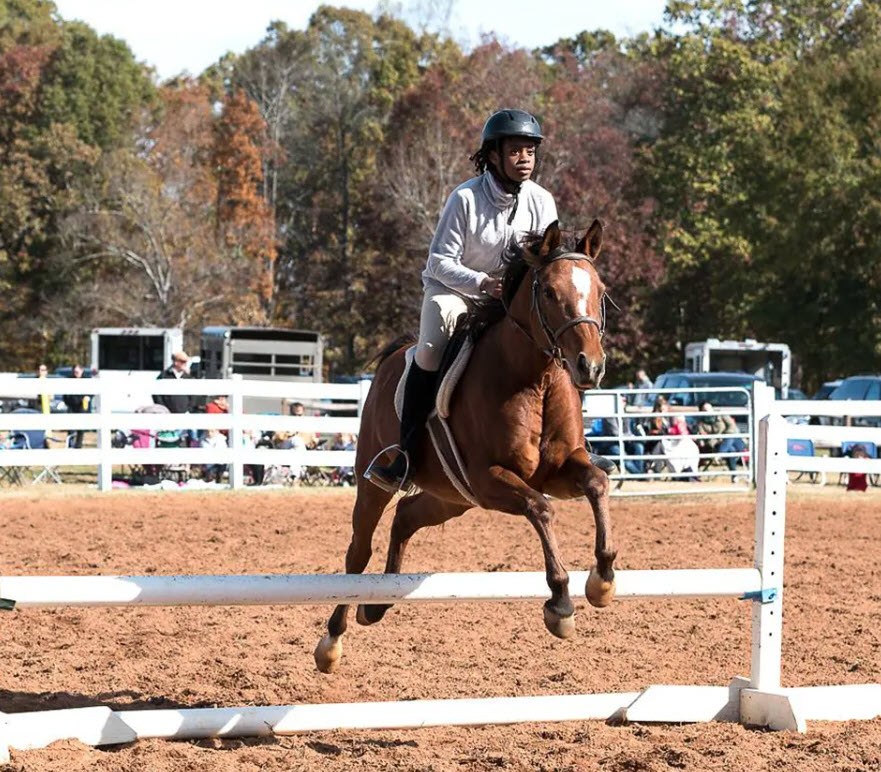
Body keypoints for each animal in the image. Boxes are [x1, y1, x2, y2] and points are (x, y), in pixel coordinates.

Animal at [314, 220, 617, 673]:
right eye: (548, 291)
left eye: (599, 289)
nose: (590, 366)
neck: (535, 378)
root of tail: (392, 358)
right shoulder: (490, 480)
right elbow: (541, 509)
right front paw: (561, 603)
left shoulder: (556, 471)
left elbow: (596, 483)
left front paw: (602, 581)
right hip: (378, 482)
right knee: (359, 551)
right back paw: (332, 641)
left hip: (453, 497)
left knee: (406, 517)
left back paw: (378, 603)